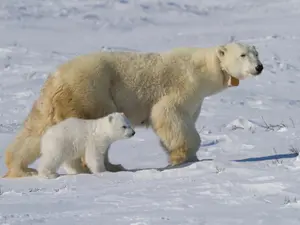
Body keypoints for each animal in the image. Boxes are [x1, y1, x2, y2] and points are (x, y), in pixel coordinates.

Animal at [2, 41, 262, 178]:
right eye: (243, 54)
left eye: (257, 52)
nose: (259, 67)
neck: (203, 69)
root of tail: (56, 78)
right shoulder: (182, 87)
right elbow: (169, 115)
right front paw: (182, 157)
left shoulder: (196, 100)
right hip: (92, 92)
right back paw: (101, 166)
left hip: (53, 101)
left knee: (36, 130)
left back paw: (20, 168)